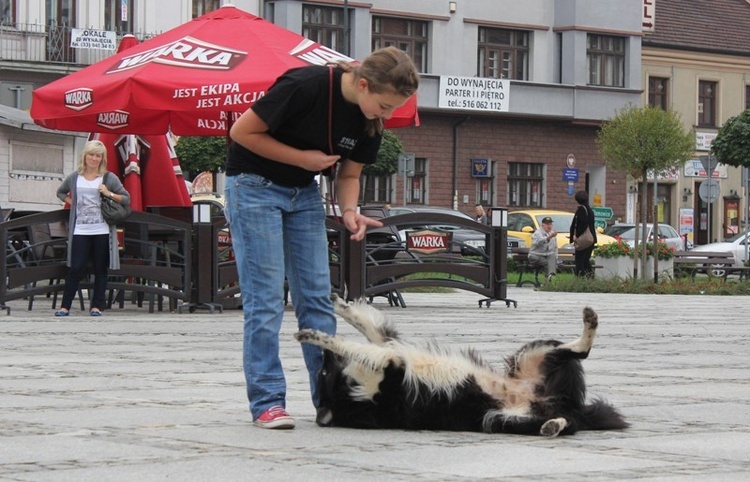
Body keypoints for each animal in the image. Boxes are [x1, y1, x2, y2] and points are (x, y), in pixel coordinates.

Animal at [294, 294, 628, 436]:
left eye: (322, 371)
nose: (321, 361)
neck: (351, 397)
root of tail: (569, 405)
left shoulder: (390, 348)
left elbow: (366, 327)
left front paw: (337, 306)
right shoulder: (391, 362)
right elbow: (351, 344)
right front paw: (314, 334)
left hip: (533, 354)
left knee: (578, 351)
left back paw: (589, 320)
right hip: (502, 418)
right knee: (563, 418)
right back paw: (552, 426)